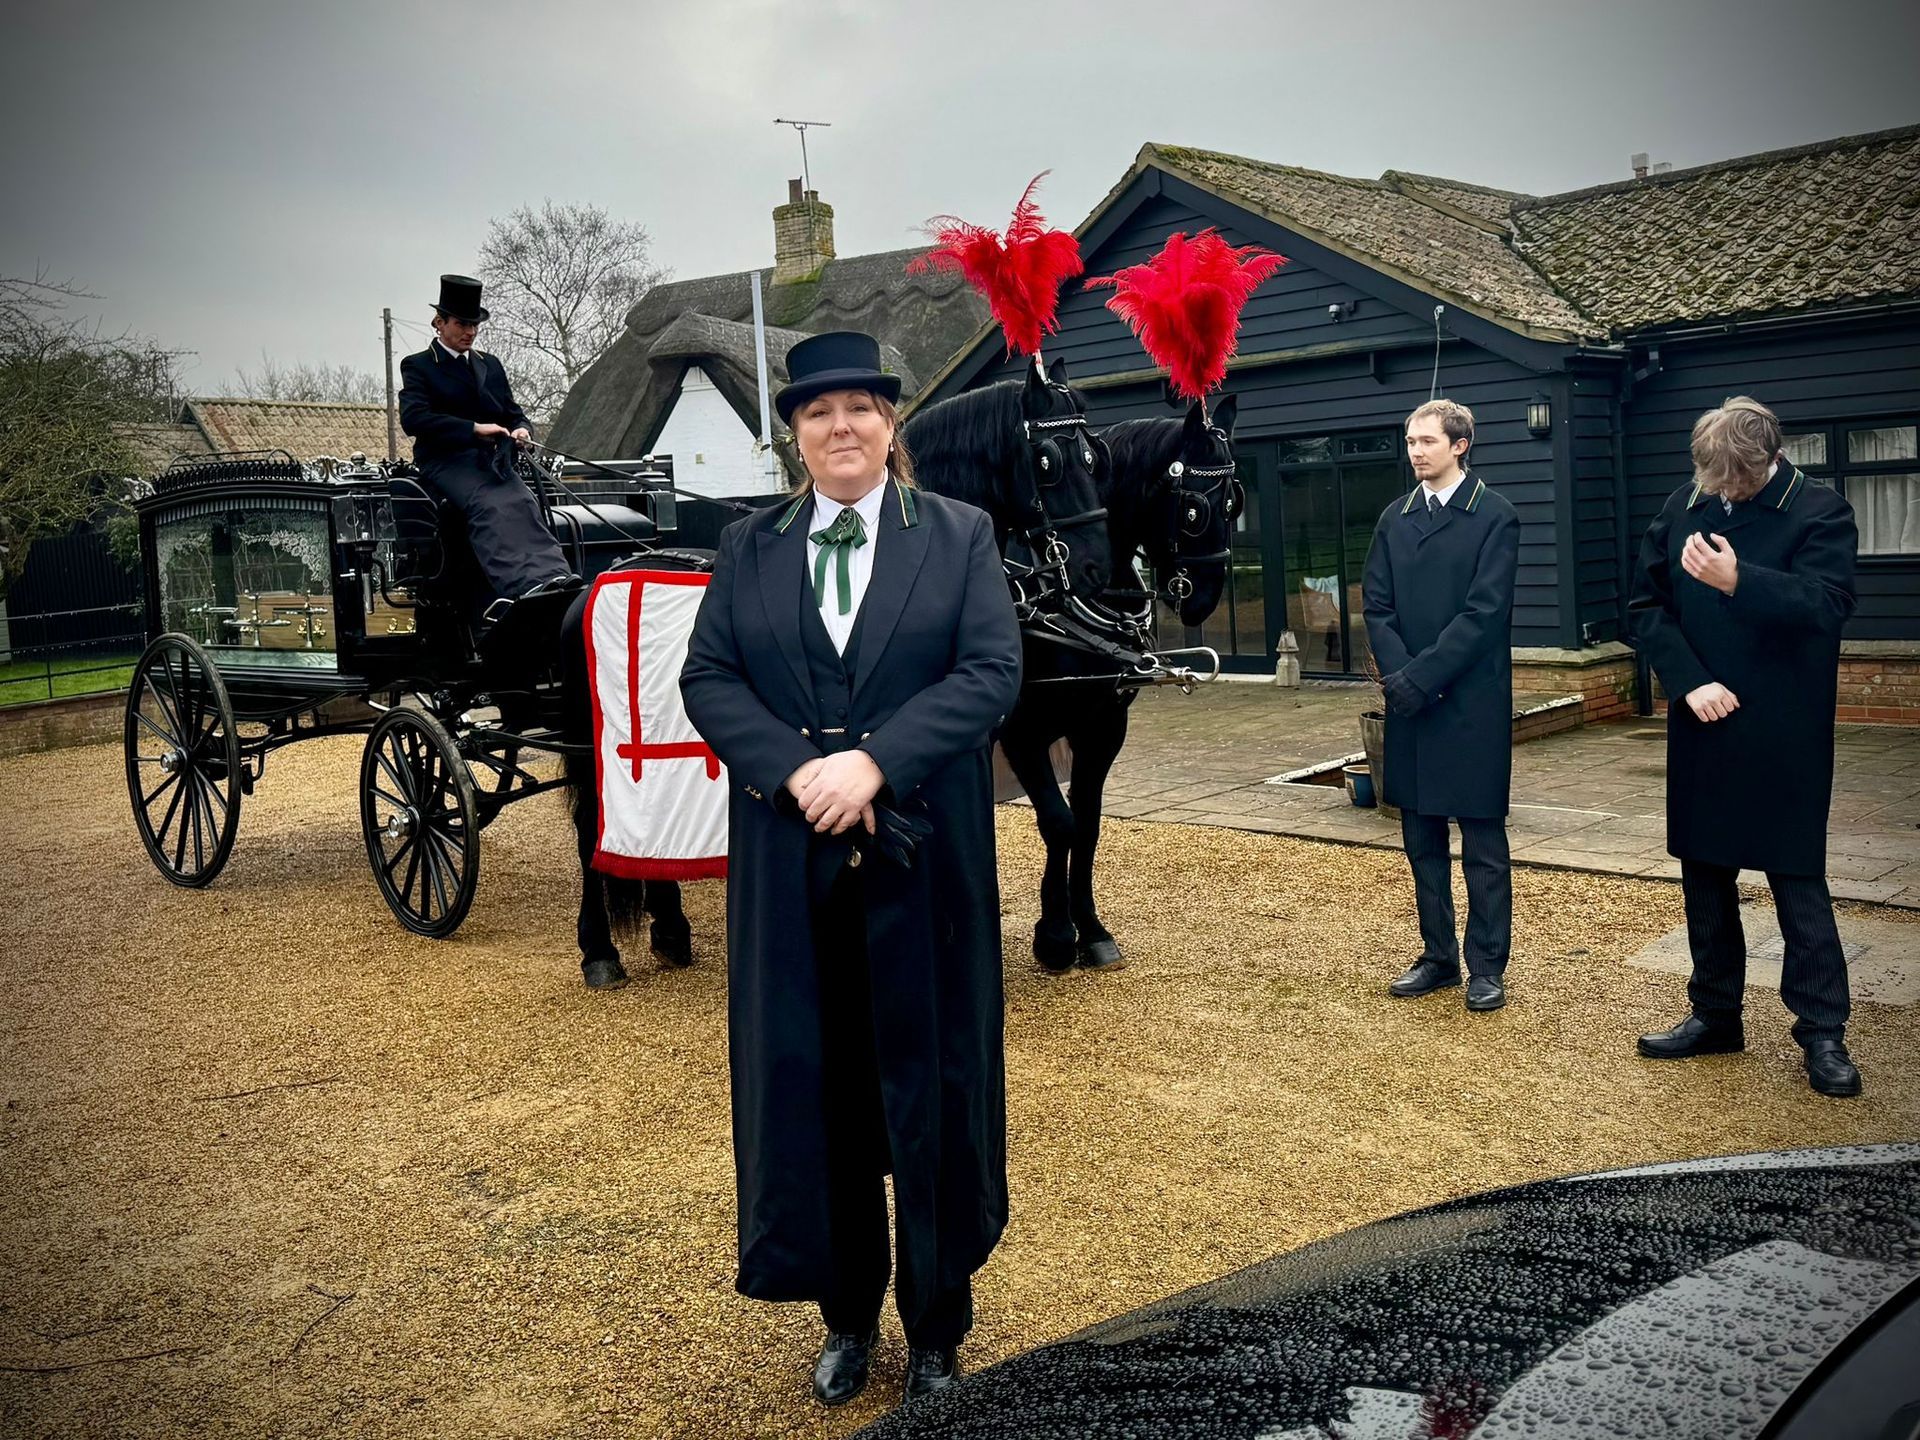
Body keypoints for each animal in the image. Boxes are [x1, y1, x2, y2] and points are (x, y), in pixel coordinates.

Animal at [990, 395, 1244, 975]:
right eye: (1193, 509)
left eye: (1233, 502)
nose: (1204, 600)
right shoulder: (1022, 734)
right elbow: (1058, 822)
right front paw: (1054, 935)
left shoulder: (1103, 728)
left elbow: (1086, 824)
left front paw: (1090, 930)